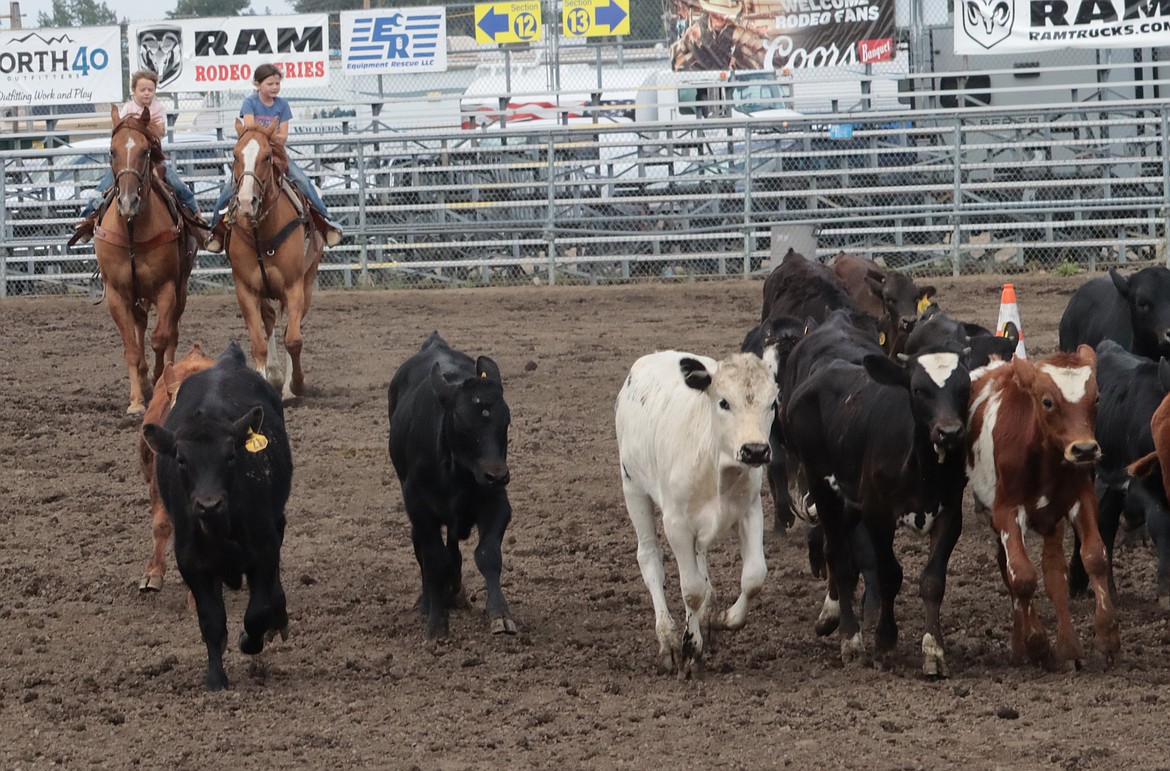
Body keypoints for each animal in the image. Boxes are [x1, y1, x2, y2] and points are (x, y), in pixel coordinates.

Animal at [95, 107, 201, 416]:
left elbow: (160, 338)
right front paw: (135, 401)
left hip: (180, 289)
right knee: (140, 324)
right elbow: (131, 346)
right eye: (112, 151)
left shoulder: (165, 288)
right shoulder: (117, 293)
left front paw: (157, 381)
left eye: (145, 151)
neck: (132, 228)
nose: (128, 202)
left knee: (171, 331)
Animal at [223, 119, 322, 404]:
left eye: (267, 156)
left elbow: (294, 340)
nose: (246, 202)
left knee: (291, 327)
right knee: (268, 322)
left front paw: (296, 385)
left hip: (307, 283)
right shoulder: (245, 289)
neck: (262, 232)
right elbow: (258, 342)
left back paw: (287, 385)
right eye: (235, 155)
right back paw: (275, 376)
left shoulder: (294, 287)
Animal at [613, 353, 776, 678]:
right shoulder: (676, 525)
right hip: (633, 488)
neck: (718, 466)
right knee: (649, 557)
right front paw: (690, 650)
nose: (755, 450)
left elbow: (754, 577)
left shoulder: (751, 512)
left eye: (772, 403)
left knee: (700, 555)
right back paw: (668, 638)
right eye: (724, 402)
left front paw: (726, 618)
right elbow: (691, 590)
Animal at [964, 346, 1118, 673]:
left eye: (1096, 398)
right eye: (1047, 401)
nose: (1085, 449)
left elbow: (1094, 558)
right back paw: (1022, 646)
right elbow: (1021, 576)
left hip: (1051, 523)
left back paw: (1069, 646)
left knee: (1053, 571)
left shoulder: (1082, 499)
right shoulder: (1006, 511)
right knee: (1008, 568)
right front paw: (1037, 644)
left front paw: (1107, 636)